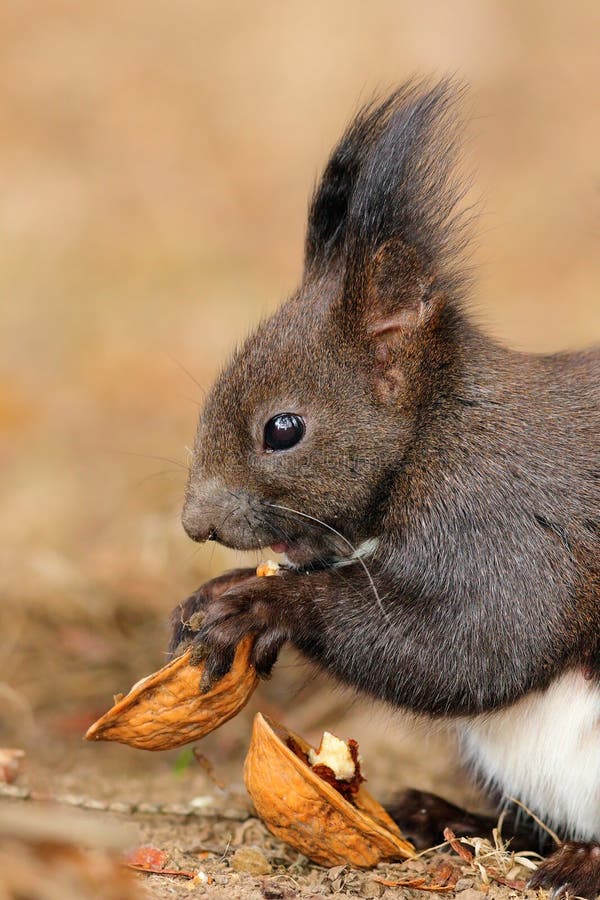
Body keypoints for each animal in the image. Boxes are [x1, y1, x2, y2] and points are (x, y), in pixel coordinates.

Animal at [169, 81, 600, 896]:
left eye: (283, 428)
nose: (195, 522)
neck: (434, 430)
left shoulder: (501, 517)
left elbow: (477, 642)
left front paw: (264, 606)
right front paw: (227, 590)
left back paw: (575, 863)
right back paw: (445, 816)